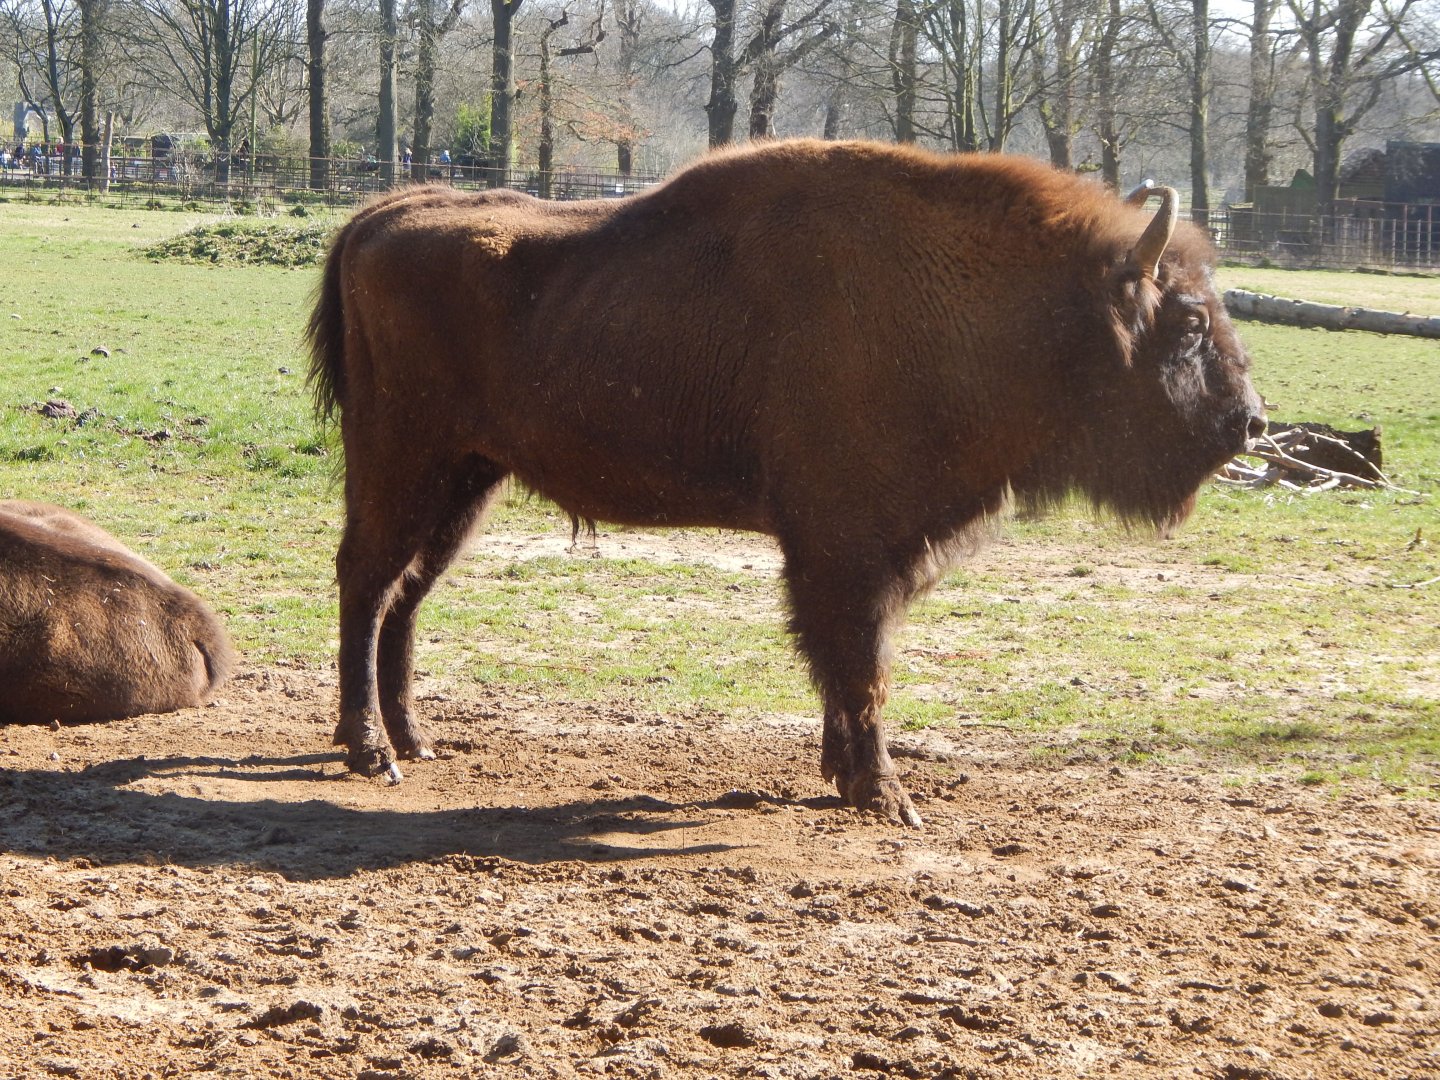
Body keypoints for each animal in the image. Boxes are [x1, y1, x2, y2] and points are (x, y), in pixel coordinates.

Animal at [307, 139, 1264, 826]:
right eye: (1185, 320)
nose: (1250, 421)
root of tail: (376, 217)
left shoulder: (859, 553)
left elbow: (846, 663)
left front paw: (845, 777)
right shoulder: (846, 547)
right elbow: (858, 662)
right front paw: (886, 797)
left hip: (466, 481)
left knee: (404, 595)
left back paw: (416, 741)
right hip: (404, 464)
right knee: (366, 580)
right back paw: (370, 753)